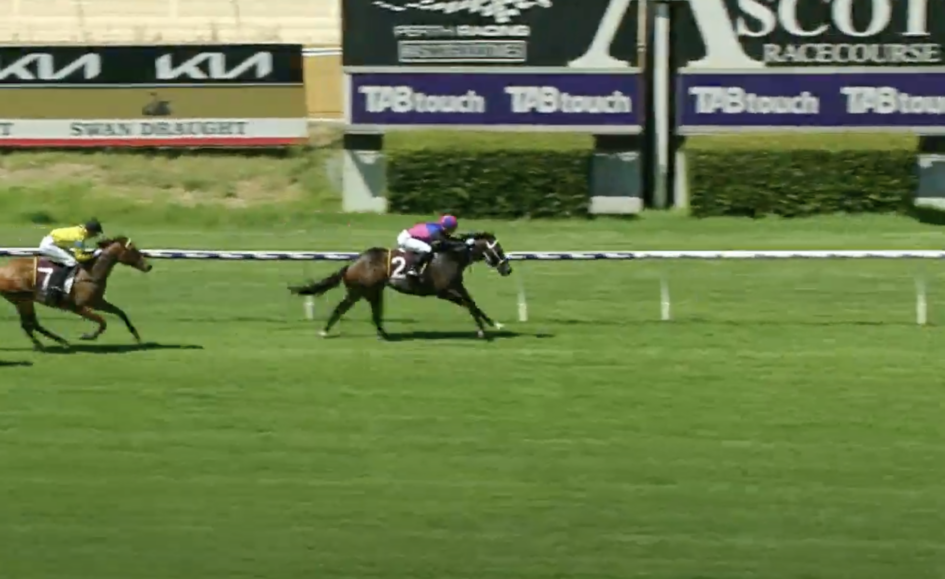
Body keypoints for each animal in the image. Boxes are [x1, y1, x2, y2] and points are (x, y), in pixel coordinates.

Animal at [0, 236, 153, 350]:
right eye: (132, 249)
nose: (148, 266)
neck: (90, 274)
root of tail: (3, 270)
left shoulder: (97, 302)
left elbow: (120, 313)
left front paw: (136, 335)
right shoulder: (77, 307)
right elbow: (102, 321)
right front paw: (88, 336)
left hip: (23, 301)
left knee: (30, 323)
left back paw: (55, 342)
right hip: (23, 299)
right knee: (29, 323)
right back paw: (55, 343)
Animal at [289, 232, 512, 340]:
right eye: (498, 249)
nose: (508, 269)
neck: (450, 256)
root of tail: (353, 263)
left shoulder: (457, 286)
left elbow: (474, 304)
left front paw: (494, 325)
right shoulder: (443, 292)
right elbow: (469, 304)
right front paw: (483, 331)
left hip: (371, 292)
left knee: (373, 313)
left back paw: (383, 334)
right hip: (360, 290)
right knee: (341, 308)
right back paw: (325, 331)